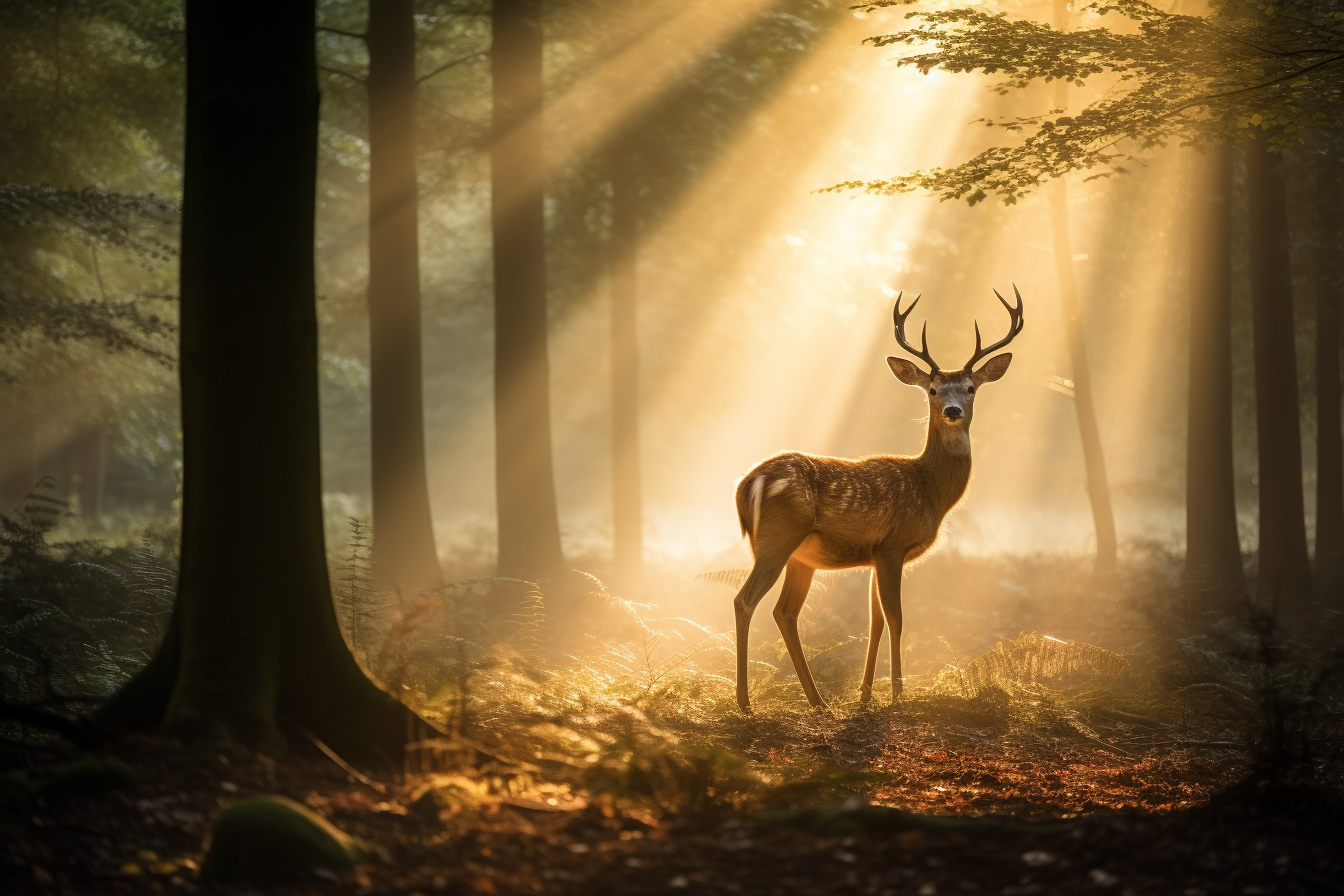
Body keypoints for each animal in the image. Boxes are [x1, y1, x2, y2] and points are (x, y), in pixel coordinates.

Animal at [731, 288, 1021, 714]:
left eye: (971, 388)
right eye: (932, 390)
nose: (952, 411)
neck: (931, 490)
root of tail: (748, 483)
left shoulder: (874, 555)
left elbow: (876, 621)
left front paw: (866, 694)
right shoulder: (893, 545)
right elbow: (897, 617)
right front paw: (899, 693)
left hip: (801, 555)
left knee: (784, 612)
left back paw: (818, 700)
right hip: (777, 539)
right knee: (745, 600)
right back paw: (745, 700)